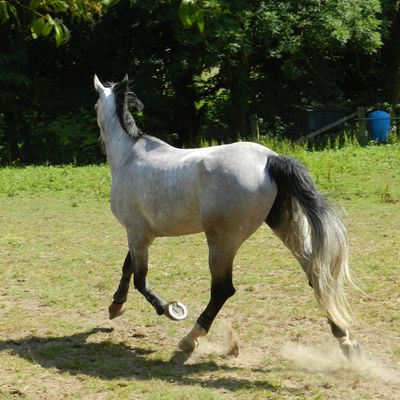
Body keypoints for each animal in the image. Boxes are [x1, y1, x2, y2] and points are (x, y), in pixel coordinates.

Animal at [93, 74, 360, 360]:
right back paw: (345, 340)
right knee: (316, 275)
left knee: (222, 289)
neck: (129, 156)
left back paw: (190, 339)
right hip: (286, 226)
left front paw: (168, 309)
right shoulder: (142, 235)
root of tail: (271, 159)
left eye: (95, 105)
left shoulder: (136, 233)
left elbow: (140, 280)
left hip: (222, 242)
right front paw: (115, 306)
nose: (99, 145)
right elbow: (128, 268)